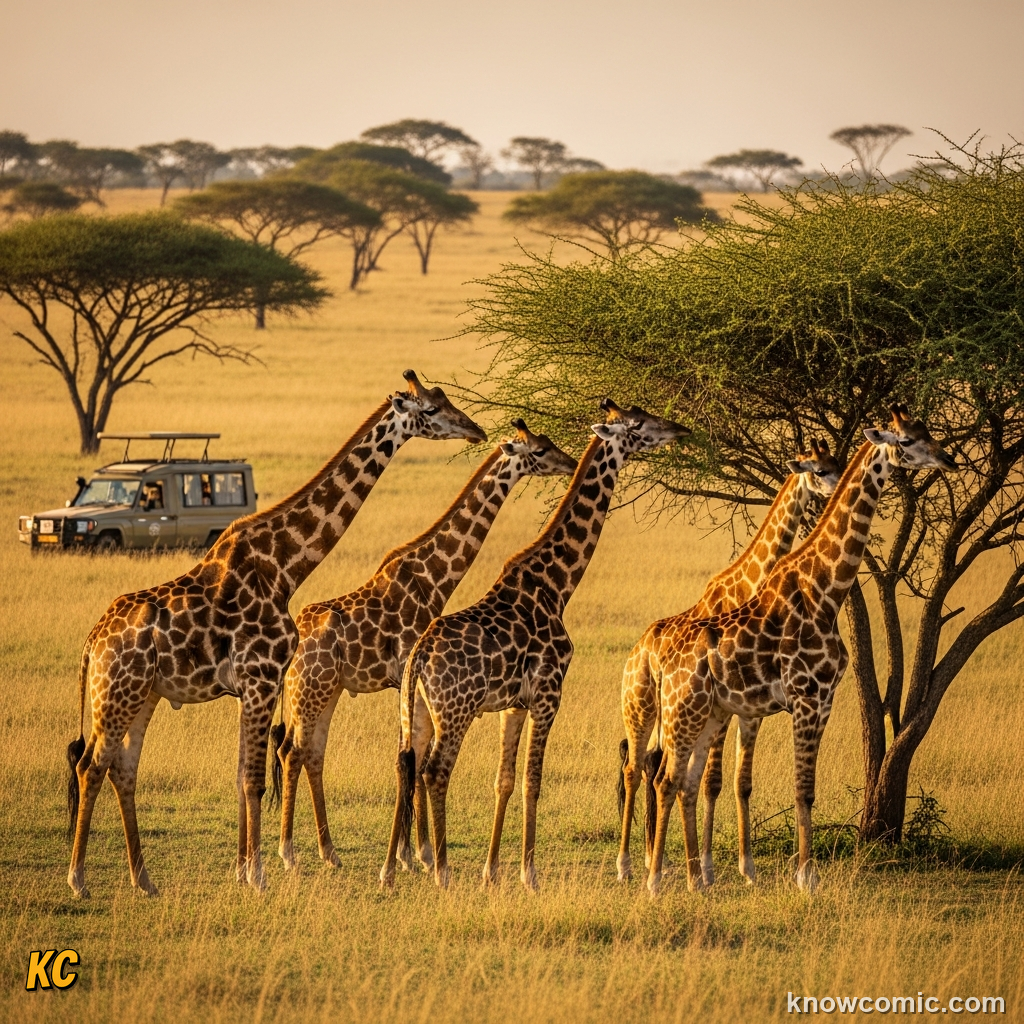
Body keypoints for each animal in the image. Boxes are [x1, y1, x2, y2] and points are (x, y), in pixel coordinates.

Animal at [65, 370, 486, 898]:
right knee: (90, 765)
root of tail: (91, 644)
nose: (475, 430)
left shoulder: (252, 687)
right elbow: (254, 778)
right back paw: (79, 880)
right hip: (118, 694)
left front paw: (244, 869)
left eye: (445, 399)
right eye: (430, 409)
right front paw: (258, 875)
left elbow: (243, 773)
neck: (285, 567)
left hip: (143, 695)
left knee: (122, 768)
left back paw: (144, 879)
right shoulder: (261, 678)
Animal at [274, 420, 577, 872]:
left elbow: (410, 757)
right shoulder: (407, 674)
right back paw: (289, 853)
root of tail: (295, 642)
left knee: (310, 753)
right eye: (540, 450)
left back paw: (329, 852)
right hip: (311, 690)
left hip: (322, 691)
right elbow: (412, 758)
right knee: (293, 752)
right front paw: (419, 854)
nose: (571, 462)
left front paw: (410, 853)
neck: (433, 576)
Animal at [379, 399, 691, 891]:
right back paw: (442, 871)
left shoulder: (513, 704)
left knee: (407, 765)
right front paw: (529, 873)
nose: (679, 430)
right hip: (456, 710)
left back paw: (390, 869)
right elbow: (533, 779)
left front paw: (491, 870)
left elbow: (504, 779)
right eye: (639, 424)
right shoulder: (548, 694)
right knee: (435, 770)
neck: (556, 584)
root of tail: (420, 656)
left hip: (419, 711)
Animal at [616, 440, 842, 886]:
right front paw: (706, 867)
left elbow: (739, 783)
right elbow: (712, 782)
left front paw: (743, 868)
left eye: (838, 463)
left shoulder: (746, 710)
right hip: (645, 708)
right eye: (820, 469)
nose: (837, 486)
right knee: (636, 767)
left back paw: (655, 859)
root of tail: (639, 647)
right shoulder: (729, 708)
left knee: (652, 765)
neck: (747, 585)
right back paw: (629, 865)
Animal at [643, 405, 958, 896]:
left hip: (709, 713)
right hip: (684, 711)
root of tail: (663, 655)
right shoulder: (805, 698)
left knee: (683, 782)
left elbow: (799, 788)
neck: (825, 591)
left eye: (927, 432)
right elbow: (799, 788)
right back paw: (657, 881)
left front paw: (790, 872)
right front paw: (805, 876)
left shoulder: (821, 701)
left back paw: (695, 881)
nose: (948, 460)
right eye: (906, 441)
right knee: (665, 779)